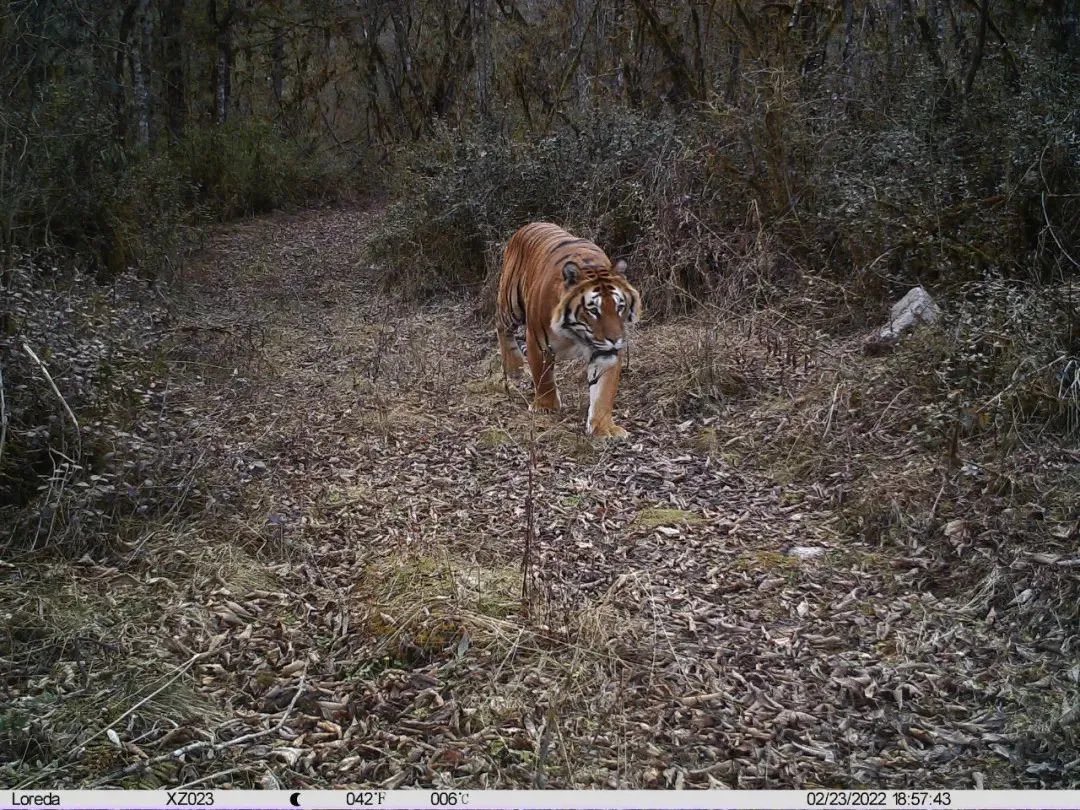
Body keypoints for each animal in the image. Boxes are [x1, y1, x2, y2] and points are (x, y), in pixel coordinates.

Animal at [495, 222, 642, 438]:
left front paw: (604, 428)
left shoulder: (605, 352)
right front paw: (546, 407)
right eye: (593, 310)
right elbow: (543, 377)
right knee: (500, 325)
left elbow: (604, 391)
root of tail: (528, 225)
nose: (616, 340)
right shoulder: (538, 343)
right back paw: (514, 369)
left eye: (619, 307)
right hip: (510, 303)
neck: (576, 334)